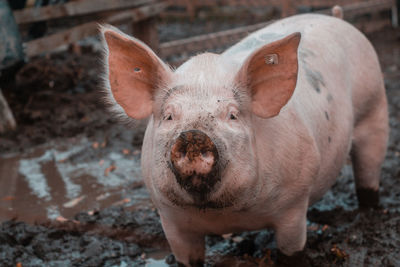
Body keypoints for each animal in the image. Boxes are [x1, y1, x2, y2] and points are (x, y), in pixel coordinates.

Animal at [100, 9, 388, 267]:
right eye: (170, 116)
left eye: (232, 115)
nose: (193, 136)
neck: (226, 215)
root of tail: (337, 18)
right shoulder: (172, 221)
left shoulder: (294, 205)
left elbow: (292, 251)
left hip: (374, 110)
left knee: (369, 170)